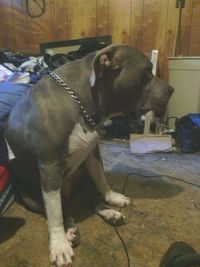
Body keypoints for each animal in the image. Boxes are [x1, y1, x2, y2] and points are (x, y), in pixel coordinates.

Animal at [5, 45, 173, 266]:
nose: (171, 90)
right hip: (33, 197)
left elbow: (101, 180)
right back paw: (69, 232)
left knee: (90, 199)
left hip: (81, 175)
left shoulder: (92, 153)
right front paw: (59, 244)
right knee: (63, 207)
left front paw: (112, 197)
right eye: (147, 71)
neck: (80, 102)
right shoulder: (49, 166)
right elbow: (55, 213)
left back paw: (110, 212)